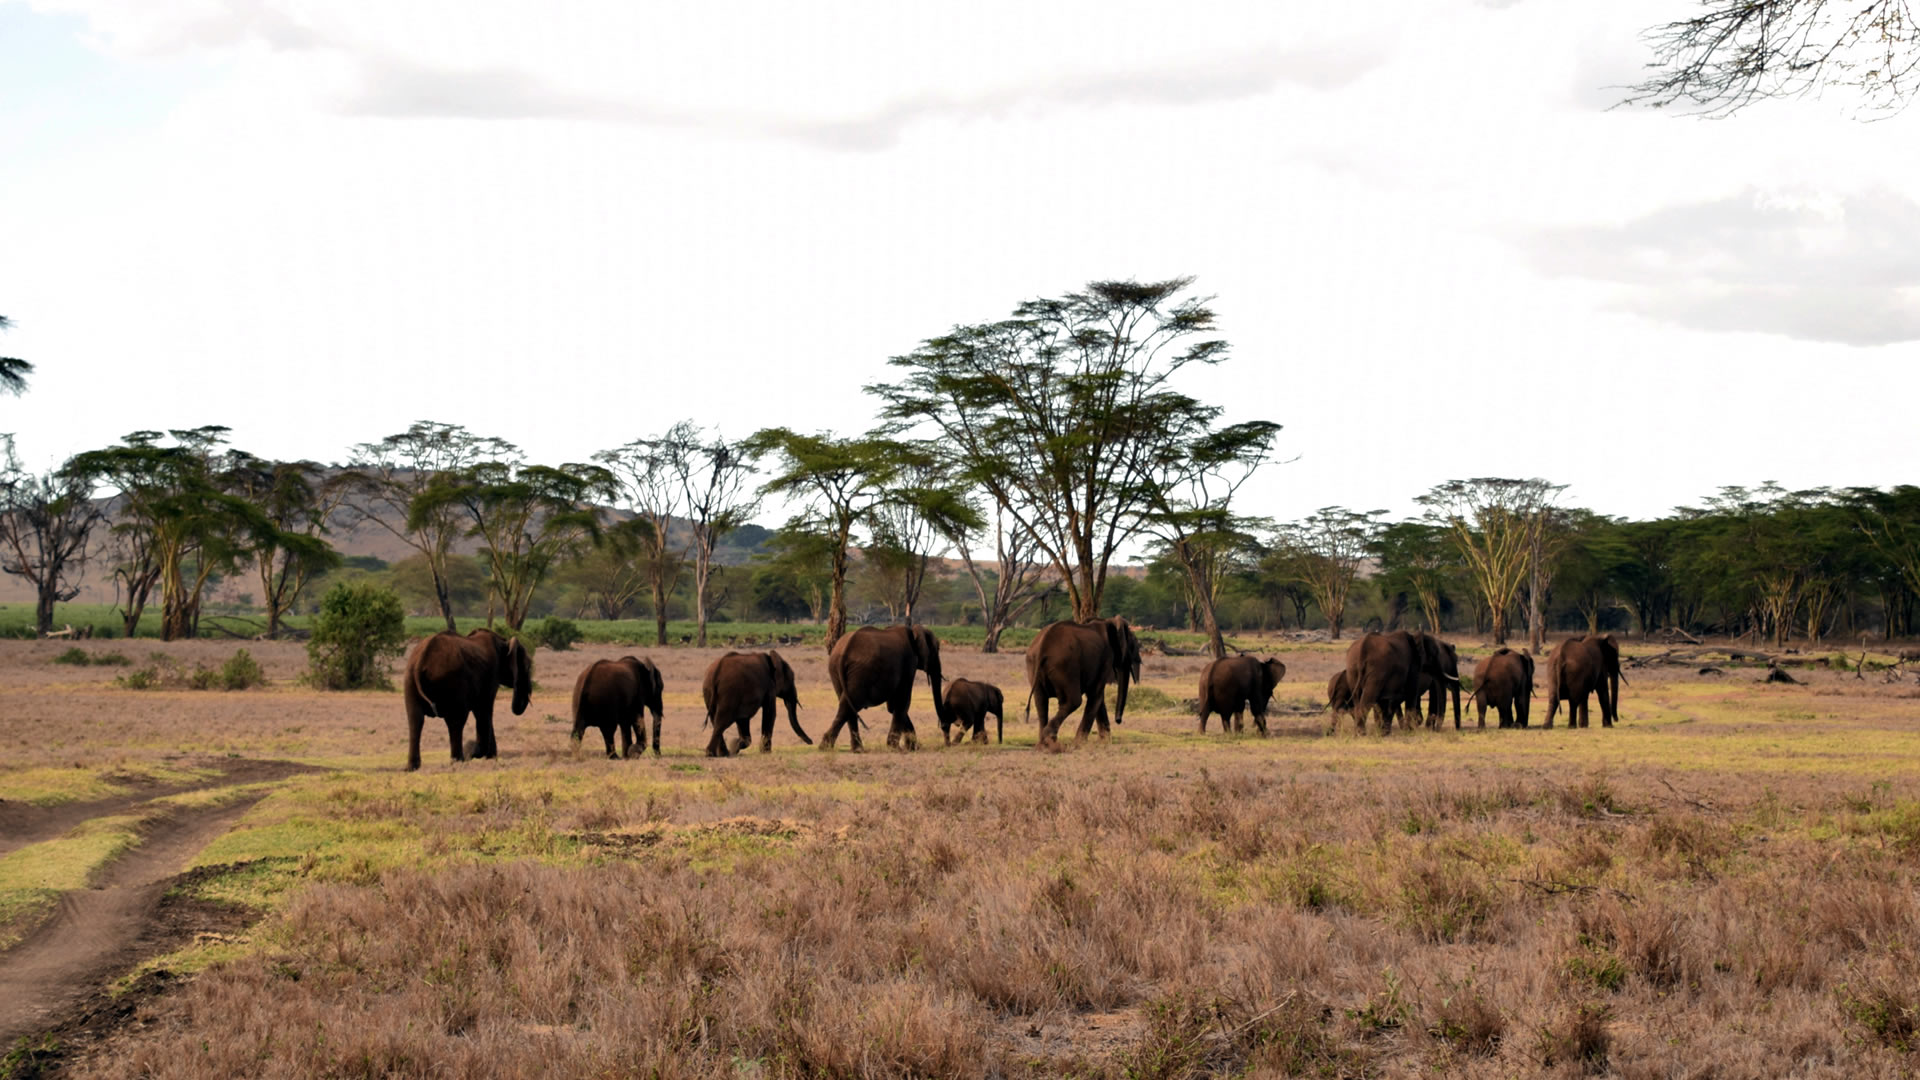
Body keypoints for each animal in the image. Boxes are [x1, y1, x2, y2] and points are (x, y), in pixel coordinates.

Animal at [403, 629, 532, 771]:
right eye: (528, 667)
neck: (503, 642)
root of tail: (421, 659)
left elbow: (482, 712)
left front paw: (489, 757)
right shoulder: (492, 674)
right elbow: (484, 711)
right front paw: (476, 754)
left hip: (410, 679)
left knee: (415, 720)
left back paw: (412, 767)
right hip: (453, 681)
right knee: (456, 721)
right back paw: (459, 760)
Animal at [1024, 617, 1142, 749]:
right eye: (1132, 647)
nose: (1118, 720)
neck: (1107, 621)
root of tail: (1042, 647)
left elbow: (1097, 697)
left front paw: (1104, 742)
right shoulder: (1106, 658)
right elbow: (1096, 695)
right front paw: (1080, 744)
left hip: (1034, 664)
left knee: (1041, 702)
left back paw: (1044, 744)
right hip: (1066, 667)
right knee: (1073, 701)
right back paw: (1050, 739)